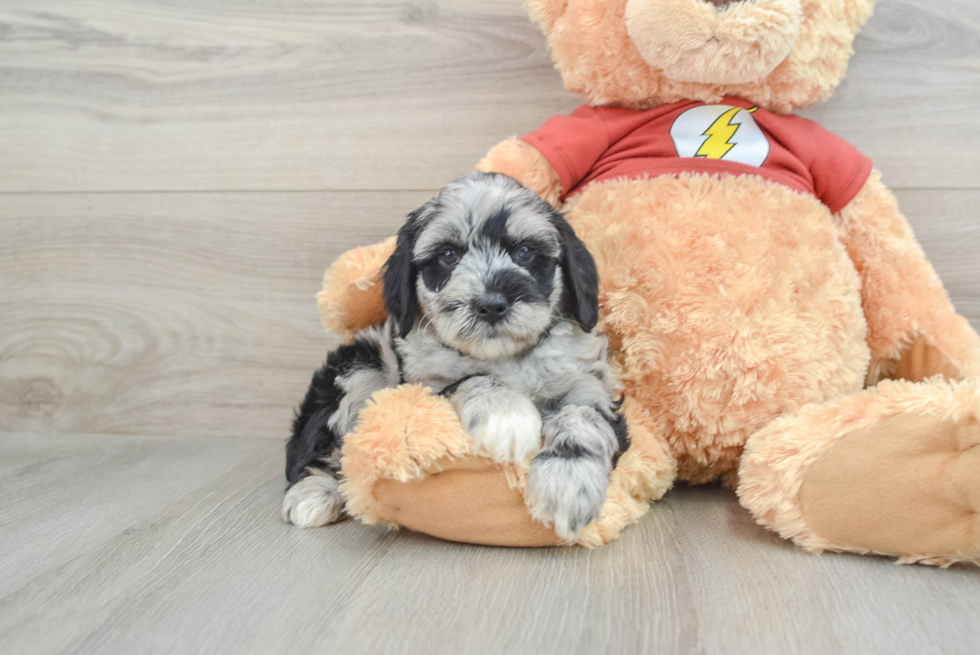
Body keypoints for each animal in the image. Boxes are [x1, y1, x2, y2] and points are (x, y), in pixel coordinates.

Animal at [284, 172, 628, 540]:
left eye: (524, 251)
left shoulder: (587, 381)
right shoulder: (423, 387)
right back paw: (313, 493)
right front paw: (507, 415)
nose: (491, 304)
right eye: (448, 255)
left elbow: (583, 417)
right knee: (318, 445)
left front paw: (568, 482)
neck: (505, 357)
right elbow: (471, 379)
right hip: (359, 369)